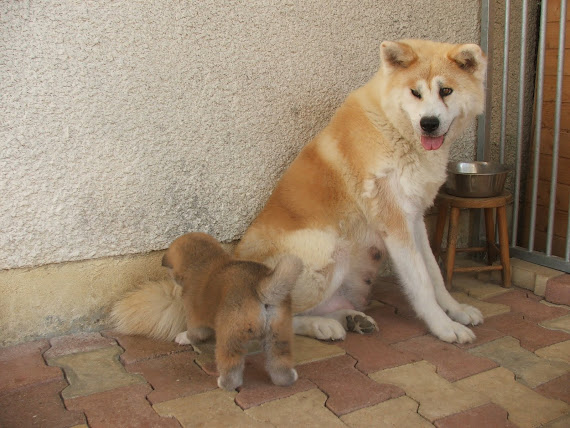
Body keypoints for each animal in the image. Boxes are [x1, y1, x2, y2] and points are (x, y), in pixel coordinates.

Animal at [111, 39, 484, 344]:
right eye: (415, 93)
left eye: (446, 91)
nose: (429, 123)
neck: (394, 128)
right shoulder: (394, 223)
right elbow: (421, 283)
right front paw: (444, 327)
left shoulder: (414, 217)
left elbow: (434, 272)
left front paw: (456, 309)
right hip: (328, 247)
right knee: (268, 317)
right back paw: (322, 326)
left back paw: (350, 319)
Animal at [160, 232, 302, 390]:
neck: (204, 260)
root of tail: (261, 290)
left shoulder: (195, 318)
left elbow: (194, 333)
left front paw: (184, 337)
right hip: (279, 336)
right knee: (280, 363)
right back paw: (286, 379)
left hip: (229, 337)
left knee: (231, 365)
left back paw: (225, 383)